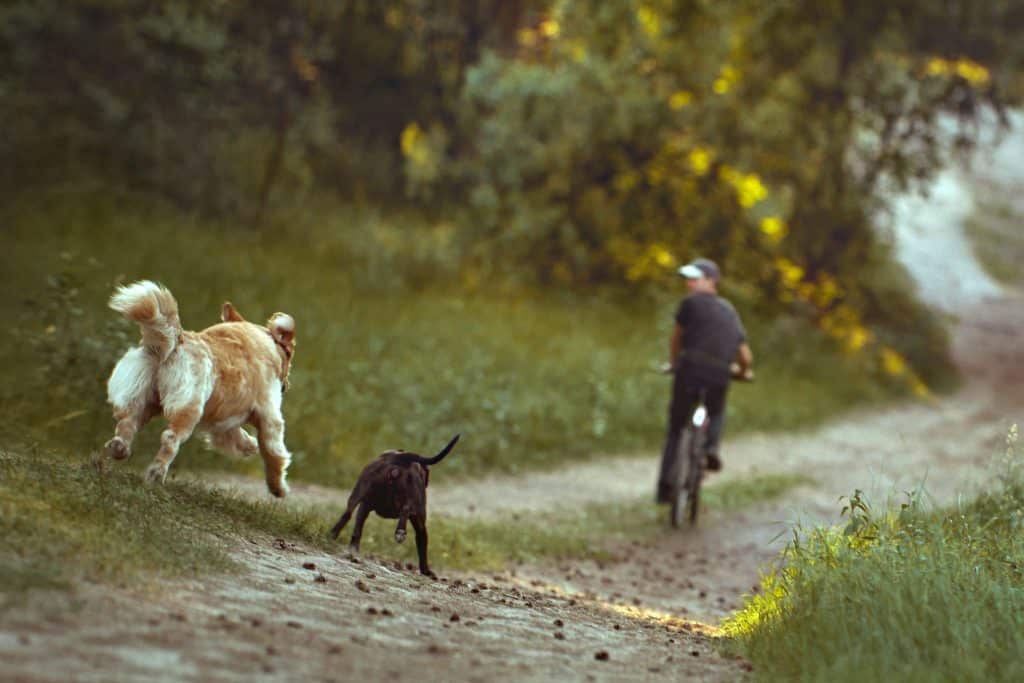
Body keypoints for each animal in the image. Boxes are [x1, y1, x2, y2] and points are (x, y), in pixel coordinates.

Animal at [102, 280, 296, 499]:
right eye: (289, 356)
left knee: (126, 425)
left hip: (140, 400)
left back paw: (119, 448)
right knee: (170, 440)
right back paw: (156, 474)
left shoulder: (224, 421)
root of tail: (175, 341)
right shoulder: (271, 419)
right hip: (188, 409)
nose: (286, 384)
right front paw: (278, 487)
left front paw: (249, 446)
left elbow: (237, 436)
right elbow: (275, 455)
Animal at [329, 436, 458, 573]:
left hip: (359, 491)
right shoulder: (420, 521)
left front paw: (353, 548)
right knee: (405, 509)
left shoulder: (364, 506)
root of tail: (397, 459)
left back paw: (332, 535)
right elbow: (422, 544)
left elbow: (357, 528)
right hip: (412, 499)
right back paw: (400, 532)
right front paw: (426, 571)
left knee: (347, 513)